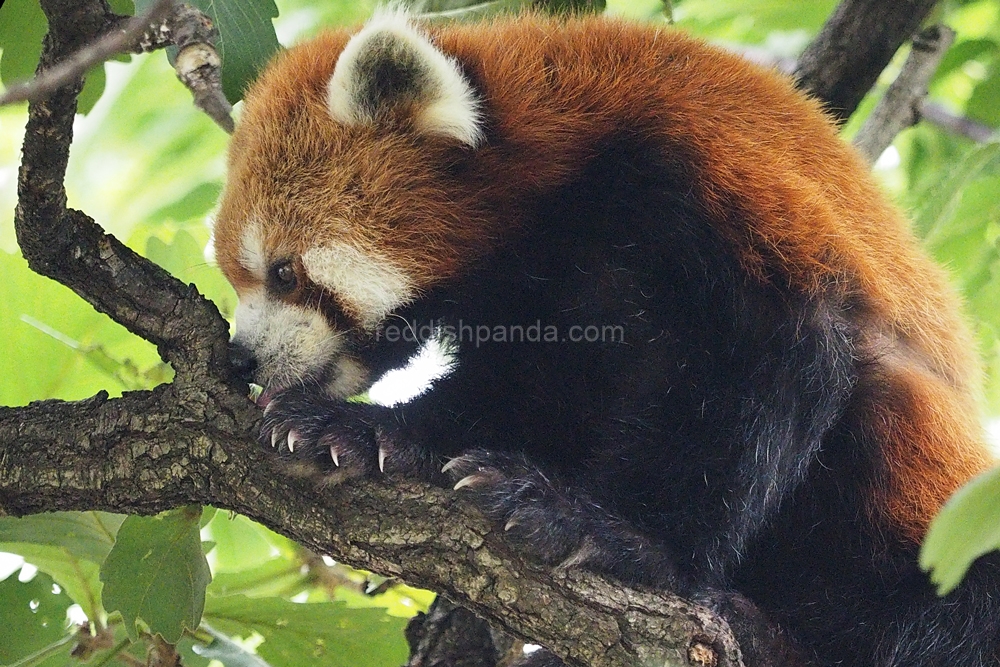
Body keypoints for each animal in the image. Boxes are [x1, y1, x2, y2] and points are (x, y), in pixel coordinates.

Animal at [213, 10, 1000, 667]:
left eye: (283, 271)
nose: (240, 355)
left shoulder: (704, 182)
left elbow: (763, 367)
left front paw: (610, 534)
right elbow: (519, 397)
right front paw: (362, 430)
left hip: (933, 501)